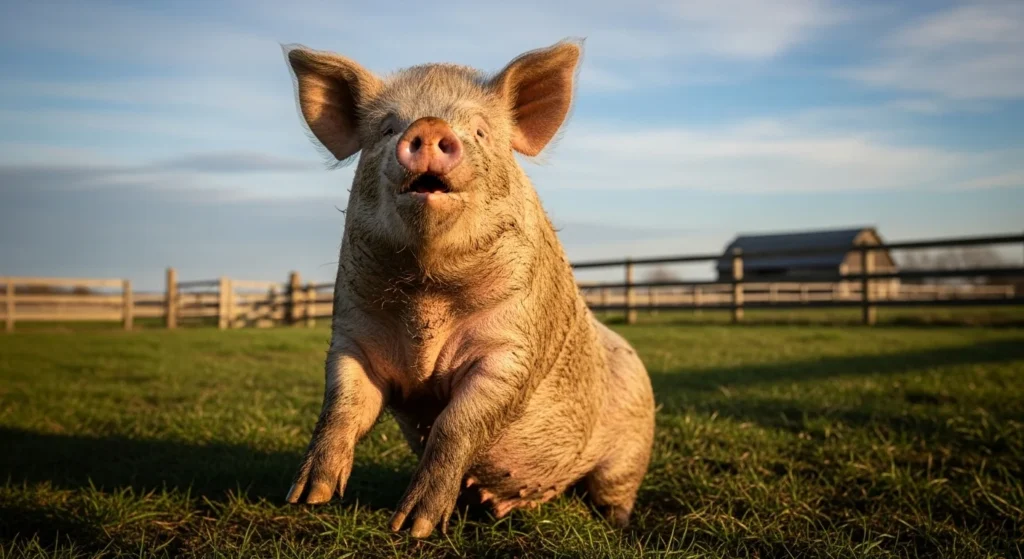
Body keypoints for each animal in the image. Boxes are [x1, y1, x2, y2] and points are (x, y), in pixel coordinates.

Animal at [282, 38, 655, 539]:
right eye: (386, 128)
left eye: (479, 131)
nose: (428, 125)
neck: (425, 295)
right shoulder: (352, 337)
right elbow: (341, 406)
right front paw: (307, 497)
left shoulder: (511, 351)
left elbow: (454, 426)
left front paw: (412, 527)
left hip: (629, 453)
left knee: (614, 493)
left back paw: (619, 528)